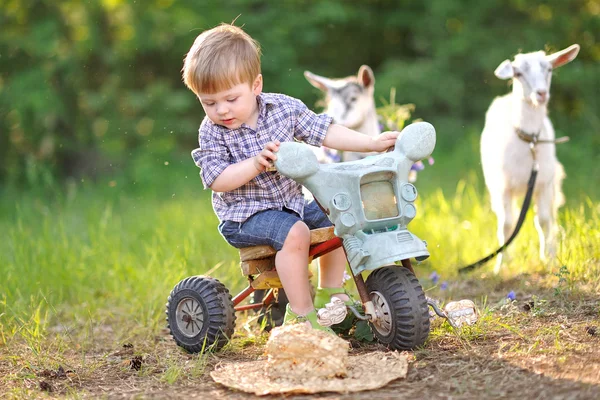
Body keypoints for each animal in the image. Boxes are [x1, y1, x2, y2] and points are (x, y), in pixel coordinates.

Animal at [480, 44, 580, 276]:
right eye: (518, 73)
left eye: (549, 69)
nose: (541, 94)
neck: (529, 141)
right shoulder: (503, 187)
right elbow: (507, 224)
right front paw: (500, 265)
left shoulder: (543, 183)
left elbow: (543, 220)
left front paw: (549, 259)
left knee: (550, 216)